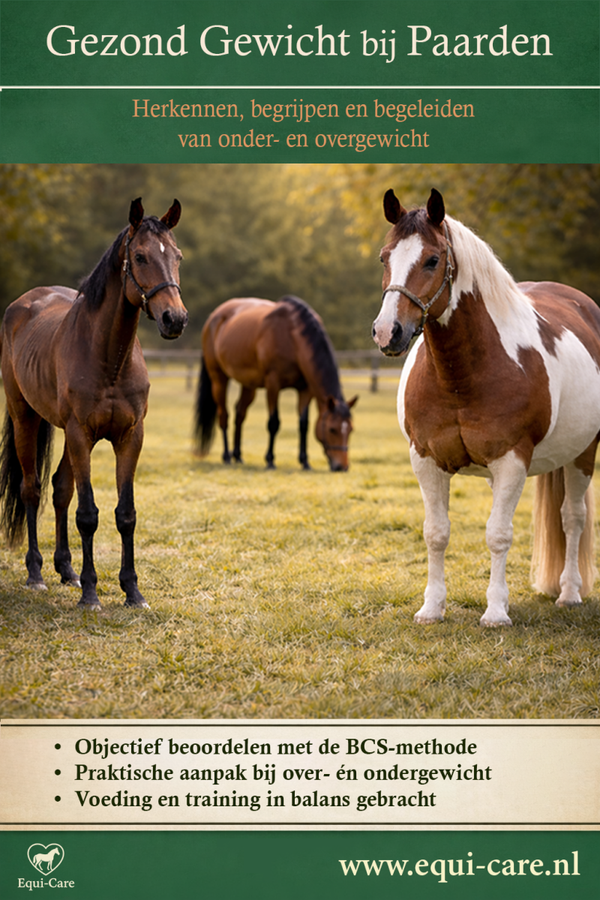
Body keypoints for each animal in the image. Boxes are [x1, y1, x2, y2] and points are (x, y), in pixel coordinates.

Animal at [0, 198, 188, 609]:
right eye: (140, 256)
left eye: (177, 256)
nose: (176, 319)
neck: (109, 359)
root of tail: (23, 304)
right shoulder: (81, 435)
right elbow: (87, 514)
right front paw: (91, 593)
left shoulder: (130, 438)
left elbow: (125, 513)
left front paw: (132, 591)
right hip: (26, 419)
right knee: (32, 489)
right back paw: (37, 573)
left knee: (59, 490)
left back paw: (66, 570)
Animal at [195, 296, 357, 471]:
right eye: (332, 429)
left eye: (350, 429)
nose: (342, 466)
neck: (292, 337)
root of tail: (213, 317)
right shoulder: (273, 385)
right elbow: (274, 423)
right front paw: (270, 460)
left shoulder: (305, 390)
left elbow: (304, 424)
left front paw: (305, 461)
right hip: (218, 379)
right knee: (223, 415)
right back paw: (226, 456)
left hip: (249, 385)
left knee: (239, 414)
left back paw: (237, 456)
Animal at [372, 187, 600, 626]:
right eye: (384, 257)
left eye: (432, 259)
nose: (388, 332)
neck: (461, 378)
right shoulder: (425, 459)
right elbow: (436, 533)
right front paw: (432, 608)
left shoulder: (511, 460)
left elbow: (498, 535)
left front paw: (495, 612)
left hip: (583, 453)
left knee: (572, 518)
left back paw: (568, 593)